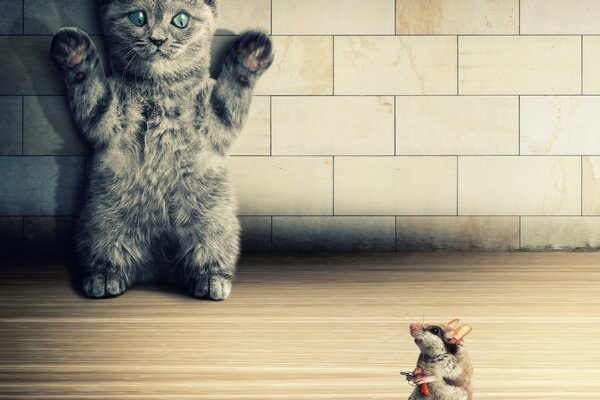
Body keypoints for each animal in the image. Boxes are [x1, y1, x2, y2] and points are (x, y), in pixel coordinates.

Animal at [50, 0, 274, 300]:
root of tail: (160, 266)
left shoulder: (216, 118)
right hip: (101, 224)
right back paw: (104, 278)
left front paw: (250, 54)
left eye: (180, 20)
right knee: (107, 256)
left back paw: (211, 280)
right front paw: (74, 52)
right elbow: (90, 90)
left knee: (210, 254)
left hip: (214, 222)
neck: (161, 90)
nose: (157, 39)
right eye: (138, 17)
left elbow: (231, 93)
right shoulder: (106, 116)